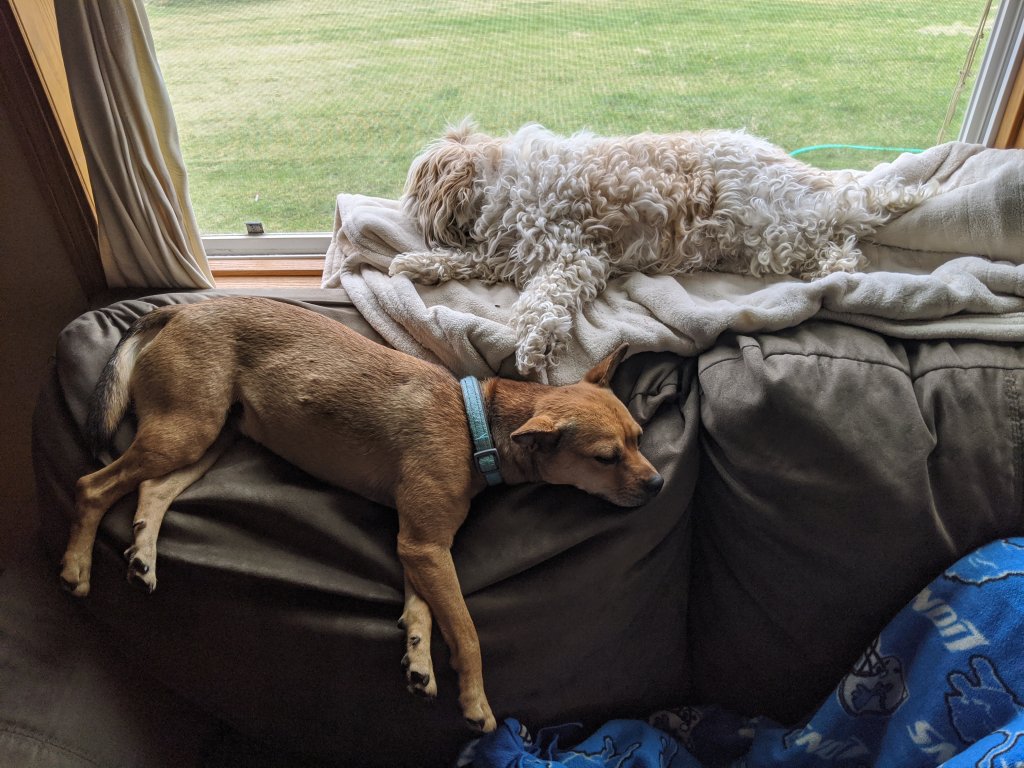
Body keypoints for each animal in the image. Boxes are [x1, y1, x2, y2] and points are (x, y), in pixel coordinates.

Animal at [59, 296, 663, 733]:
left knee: (151, 491)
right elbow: (466, 629)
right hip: (185, 429)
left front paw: (419, 663)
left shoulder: (419, 546)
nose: (658, 485)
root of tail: (181, 310)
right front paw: (475, 702)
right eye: (606, 458)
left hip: (208, 439)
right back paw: (77, 567)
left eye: (639, 437)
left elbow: (423, 613)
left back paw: (143, 557)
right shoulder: (426, 546)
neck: (477, 423)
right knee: (93, 486)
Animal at [391, 120, 933, 374]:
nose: (412, 220)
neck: (497, 177)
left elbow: (541, 302)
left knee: (849, 219)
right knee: (841, 236)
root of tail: (796, 172)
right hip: (771, 239)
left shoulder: (571, 254)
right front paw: (416, 262)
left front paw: (534, 347)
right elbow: (468, 260)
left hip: (773, 227)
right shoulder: (507, 254)